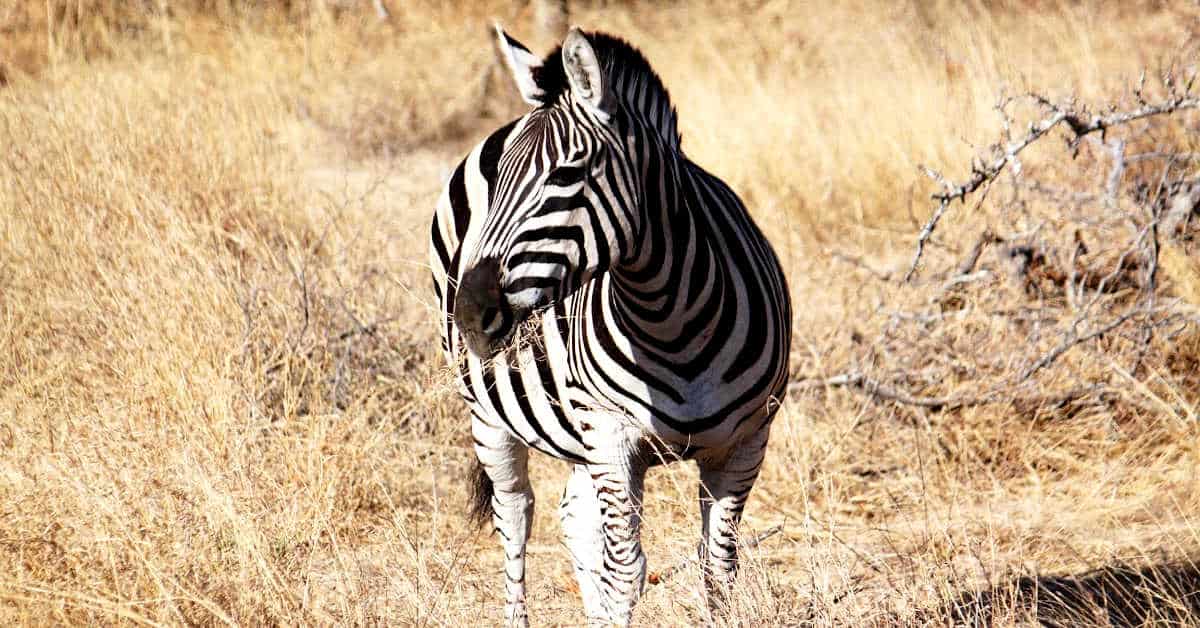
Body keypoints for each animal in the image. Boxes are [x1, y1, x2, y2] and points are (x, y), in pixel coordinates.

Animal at [429, 25, 791, 626]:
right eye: (499, 182)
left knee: (574, 518)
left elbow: (718, 568)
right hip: (490, 415)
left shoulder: (745, 444)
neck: (670, 319)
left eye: (567, 175)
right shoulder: (610, 436)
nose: (472, 316)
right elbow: (625, 572)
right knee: (516, 516)